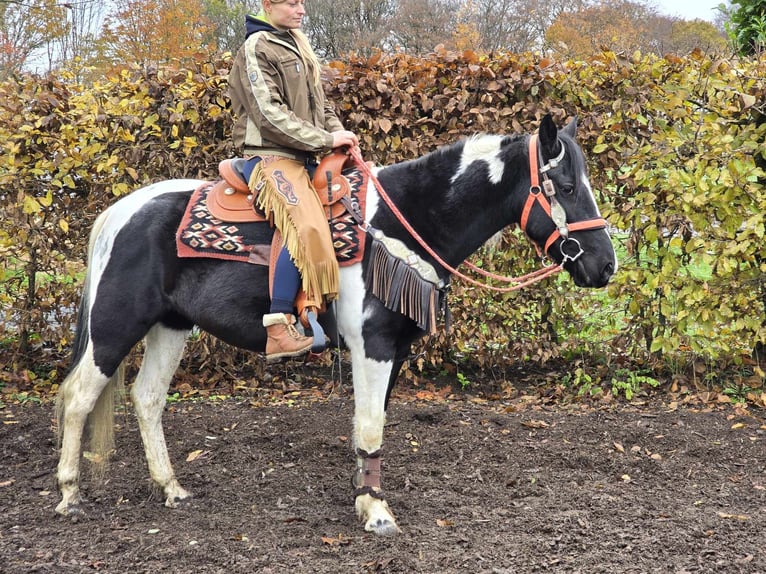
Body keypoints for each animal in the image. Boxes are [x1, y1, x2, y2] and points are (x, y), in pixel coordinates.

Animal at [54, 115, 616, 536]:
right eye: (567, 186)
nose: (606, 266)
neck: (397, 223)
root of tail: (119, 212)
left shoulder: (395, 350)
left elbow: (370, 425)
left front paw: (365, 495)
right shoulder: (373, 344)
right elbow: (369, 425)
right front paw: (377, 512)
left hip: (170, 326)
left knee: (147, 398)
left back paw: (171, 488)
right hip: (116, 325)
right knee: (79, 396)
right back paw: (69, 495)